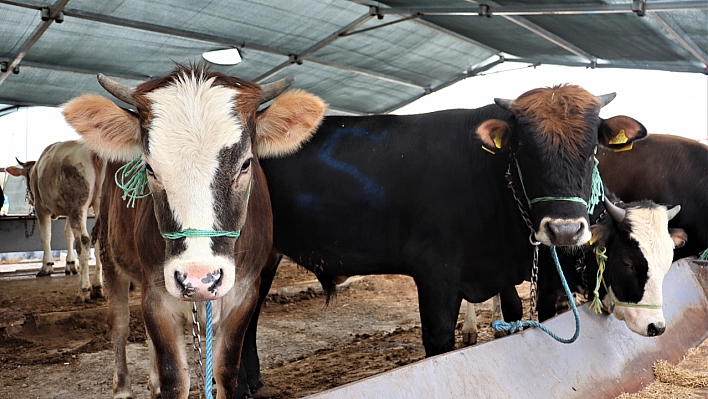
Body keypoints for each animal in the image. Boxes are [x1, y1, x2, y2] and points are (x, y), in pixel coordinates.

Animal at [6, 141, 104, 304]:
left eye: (25, 179)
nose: (29, 198)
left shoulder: (41, 208)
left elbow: (45, 236)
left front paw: (47, 266)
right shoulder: (68, 212)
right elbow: (68, 235)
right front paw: (70, 265)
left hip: (77, 203)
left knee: (83, 241)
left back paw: (83, 290)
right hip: (97, 204)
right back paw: (98, 287)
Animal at [62, 64, 324, 398]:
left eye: (245, 164)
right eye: (150, 168)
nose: (199, 279)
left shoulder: (244, 294)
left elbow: (226, 371)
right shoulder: (157, 295)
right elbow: (175, 377)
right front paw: (163, 382)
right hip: (110, 257)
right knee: (119, 324)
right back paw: (122, 387)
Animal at [234, 94, 648, 396]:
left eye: (591, 150)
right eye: (526, 150)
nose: (564, 230)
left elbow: (515, 313)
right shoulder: (436, 275)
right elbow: (438, 344)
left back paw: (252, 380)